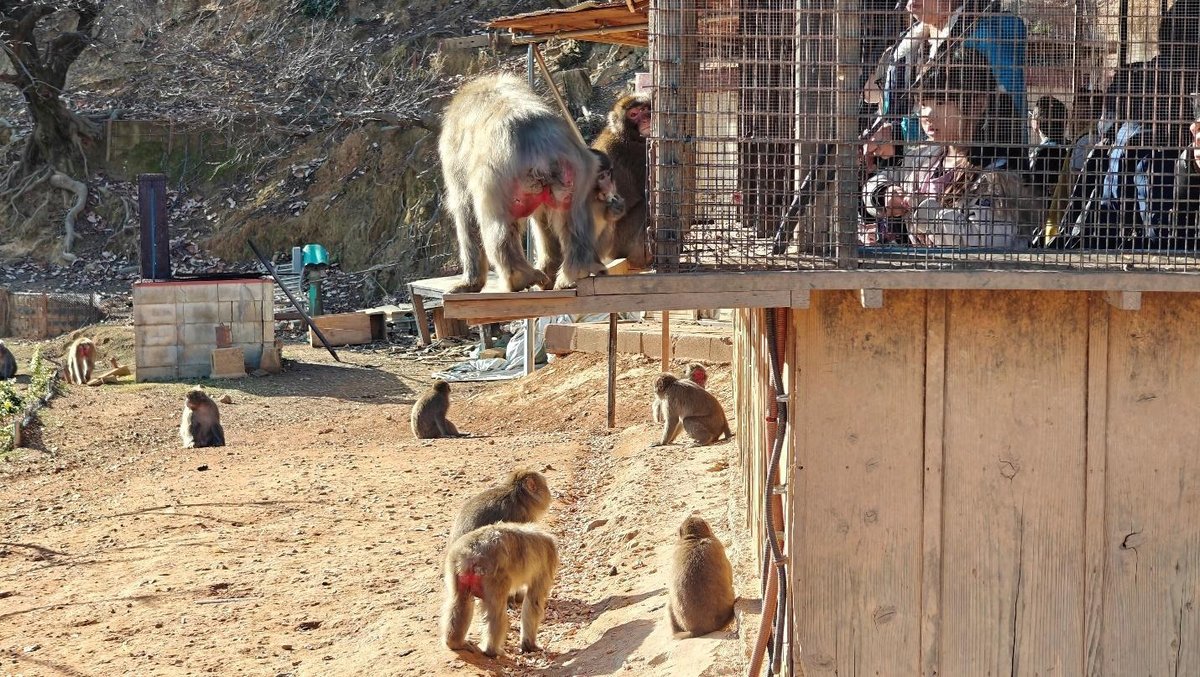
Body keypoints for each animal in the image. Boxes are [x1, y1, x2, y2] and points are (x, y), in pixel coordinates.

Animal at [439, 74, 607, 293]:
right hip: (578, 170)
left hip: (496, 180)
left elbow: (465, 210)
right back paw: (575, 270)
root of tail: (539, 145)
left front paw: (470, 282)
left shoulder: (453, 156)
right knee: (574, 219)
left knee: (497, 227)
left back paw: (518, 277)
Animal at [442, 523, 559, 658]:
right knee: (496, 610)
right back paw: (491, 650)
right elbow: (534, 602)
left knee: (460, 601)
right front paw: (530, 645)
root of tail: (470, 553)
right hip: (494, 575)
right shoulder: (549, 559)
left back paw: (454, 643)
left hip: (455, 568)